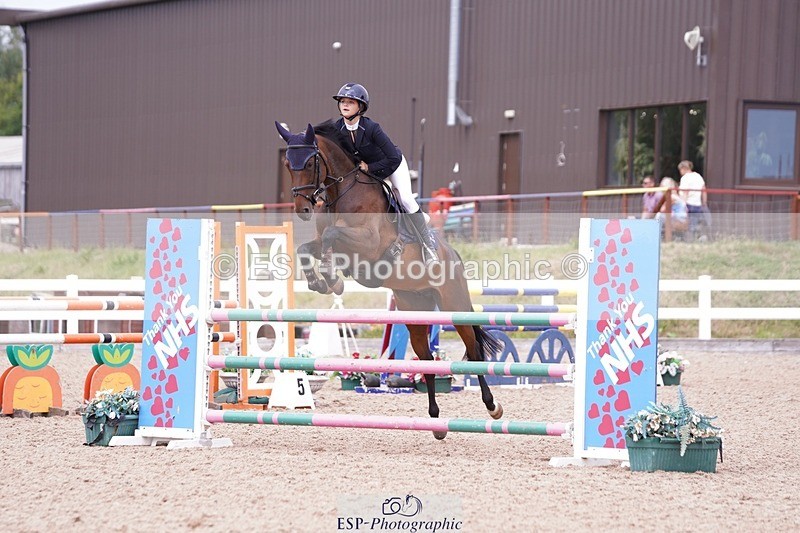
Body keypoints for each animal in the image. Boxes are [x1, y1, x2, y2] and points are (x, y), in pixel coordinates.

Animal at [275, 121, 503, 439]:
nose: (303, 209)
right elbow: (307, 249)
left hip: (454, 305)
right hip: (414, 310)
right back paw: (436, 421)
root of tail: (453, 253)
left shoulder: (368, 243)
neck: (340, 193)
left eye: (310, 162)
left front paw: (332, 277)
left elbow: (333, 236)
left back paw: (492, 406)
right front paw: (322, 281)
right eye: (287, 163)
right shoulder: (327, 243)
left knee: (474, 350)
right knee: (426, 360)